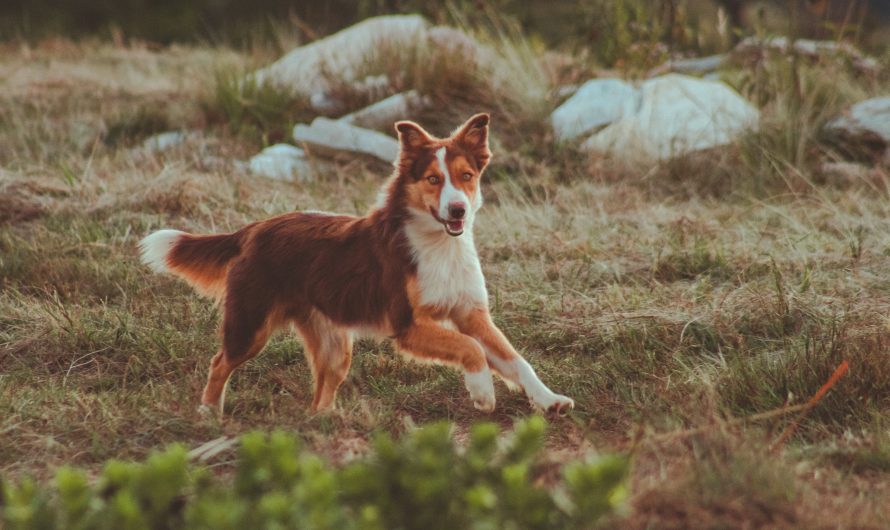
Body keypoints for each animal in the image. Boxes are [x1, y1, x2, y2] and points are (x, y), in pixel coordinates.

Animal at [139, 113, 568, 414]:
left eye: (466, 176)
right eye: (433, 179)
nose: (458, 209)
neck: (437, 244)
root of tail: (256, 228)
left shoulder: (471, 313)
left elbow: (515, 360)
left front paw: (549, 399)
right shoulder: (407, 325)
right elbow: (470, 349)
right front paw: (481, 392)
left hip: (334, 346)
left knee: (322, 389)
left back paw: (325, 420)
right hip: (251, 325)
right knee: (219, 362)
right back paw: (208, 412)